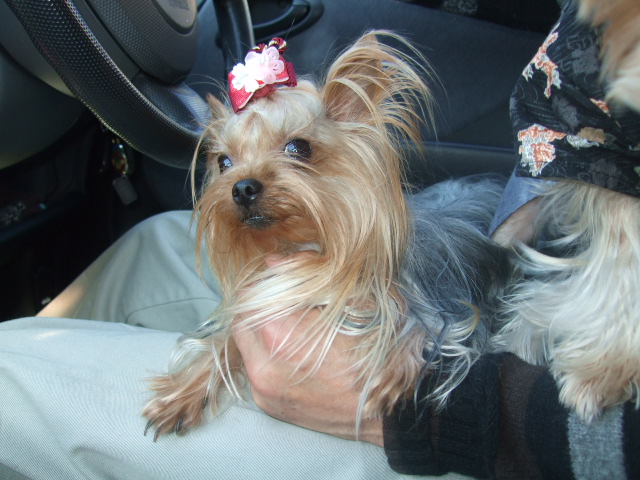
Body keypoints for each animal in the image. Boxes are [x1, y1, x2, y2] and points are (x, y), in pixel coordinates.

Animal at [142, 31, 508, 438]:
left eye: (299, 147)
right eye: (224, 162)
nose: (242, 188)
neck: (305, 248)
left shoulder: (446, 310)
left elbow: (415, 323)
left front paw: (390, 367)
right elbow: (225, 341)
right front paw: (183, 392)